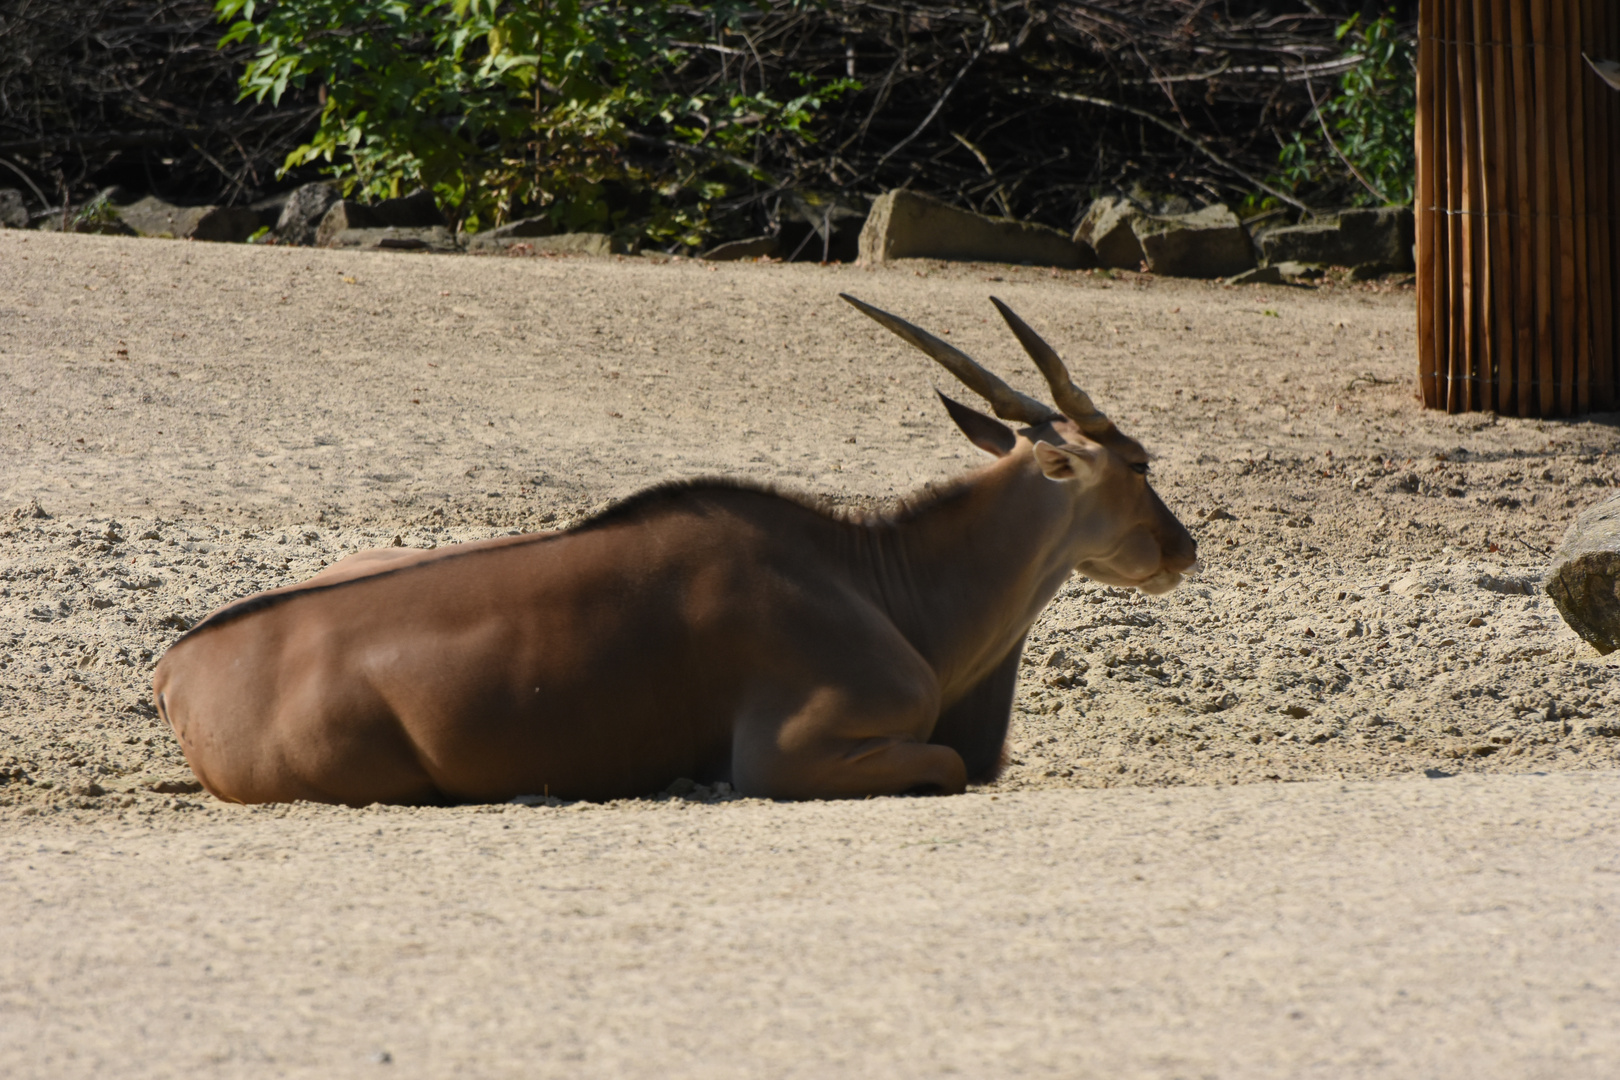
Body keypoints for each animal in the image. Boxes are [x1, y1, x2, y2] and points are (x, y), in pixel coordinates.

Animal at [154, 296, 1192, 803]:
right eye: (1139, 462)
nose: (1182, 549)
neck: (878, 579)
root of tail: (175, 665)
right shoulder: (790, 758)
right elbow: (944, 767)